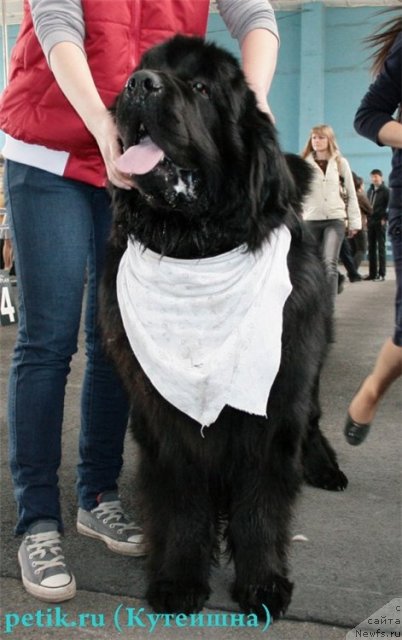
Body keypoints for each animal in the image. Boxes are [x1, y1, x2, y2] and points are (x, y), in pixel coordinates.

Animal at [99, 35, 346, 620]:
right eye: (144, 68)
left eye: (202, 87)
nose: (139, 84)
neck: (195, 247)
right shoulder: (163, 416)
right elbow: (182, 501)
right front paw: (179, 578)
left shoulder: (274, 405)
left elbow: (260, 503)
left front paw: (262, 582)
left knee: (314, 421)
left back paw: (324, 467)